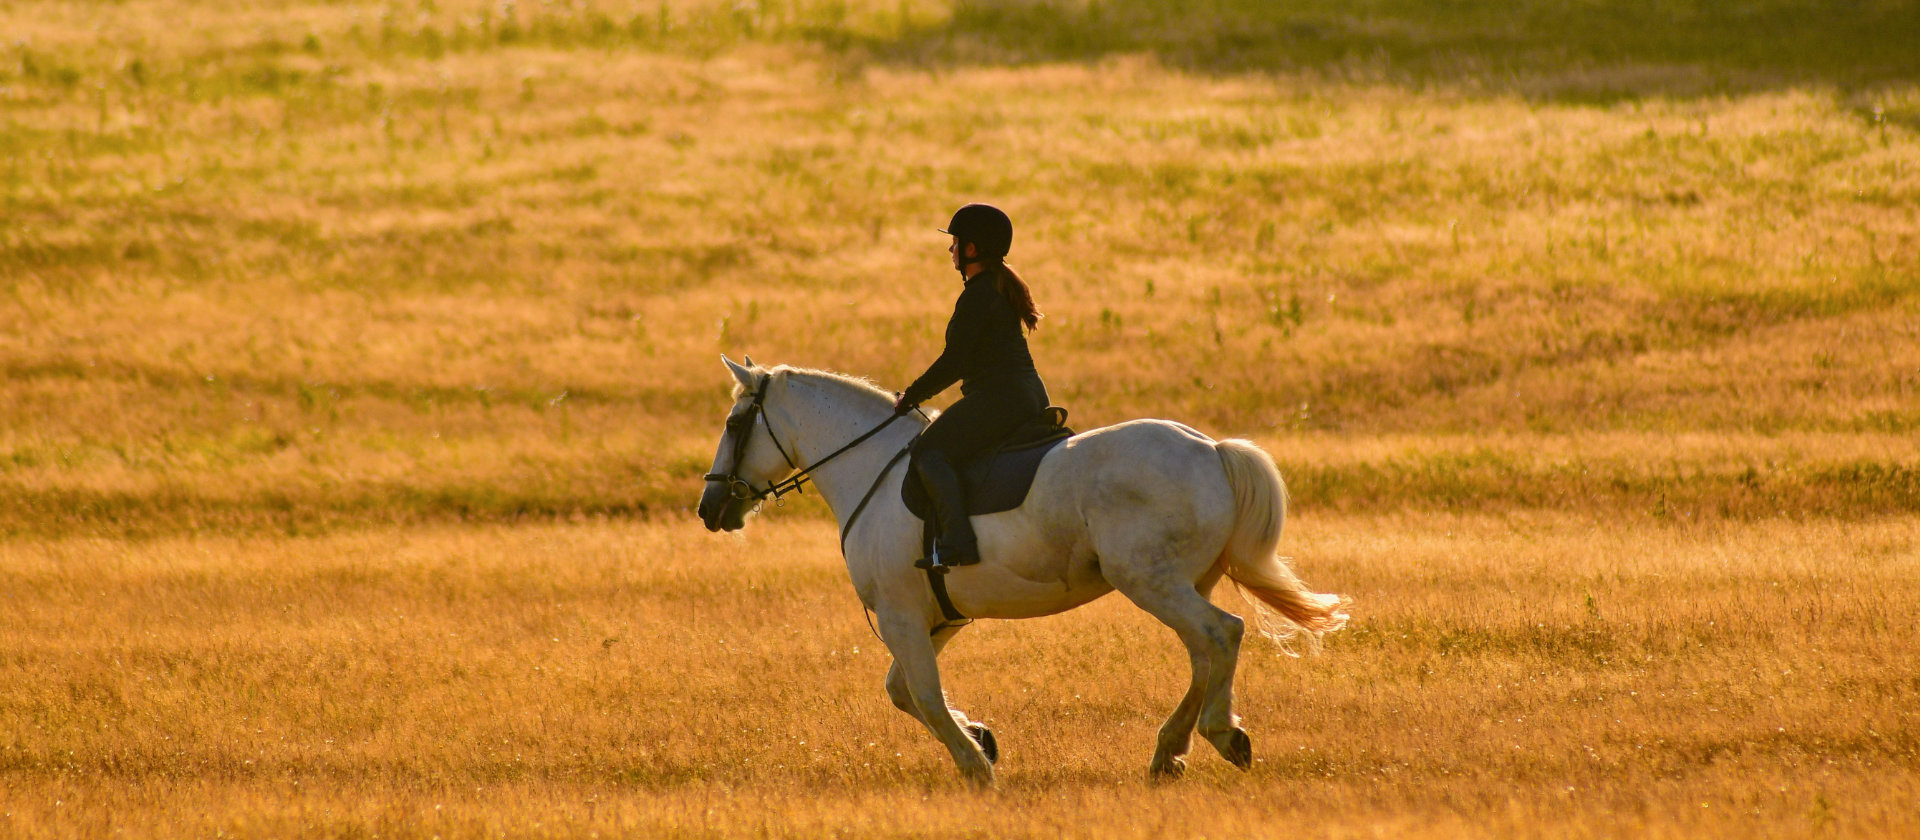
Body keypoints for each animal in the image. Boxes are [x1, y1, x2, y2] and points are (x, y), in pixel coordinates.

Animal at [696, 356, 1349, 787]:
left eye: (732, 424)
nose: (710, 508)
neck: (869, 469)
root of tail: (1211, 449)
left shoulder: (902, 615)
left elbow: (923, 696)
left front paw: (976, 767)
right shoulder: (933, 617)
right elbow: (903, 690)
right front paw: (982, 738)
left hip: (1151, 582)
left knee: (1221, 634)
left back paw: (1220, 734)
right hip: (1180, 582)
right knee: (1203, 652)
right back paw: (1170, 752)